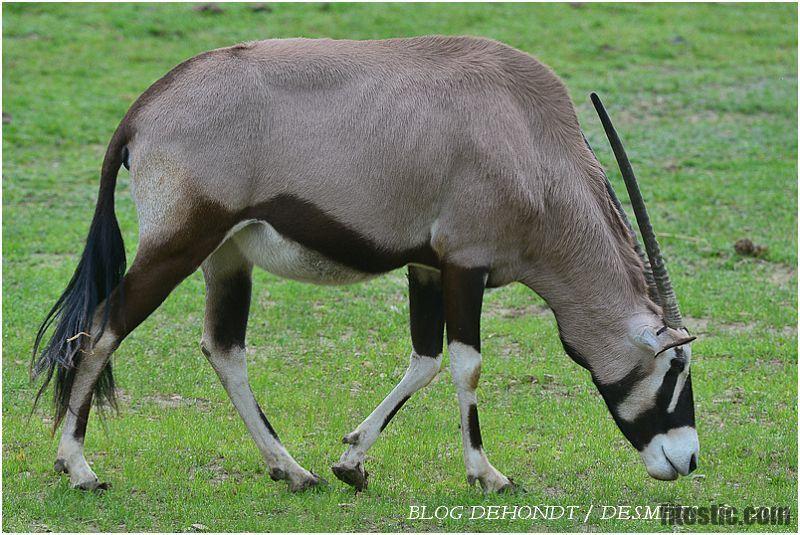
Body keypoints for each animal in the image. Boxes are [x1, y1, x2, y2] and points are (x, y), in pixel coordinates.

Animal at [31, 34, 696, 494]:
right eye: (676, 365)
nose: (686, 459)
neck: (527, 139)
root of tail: (142, 110)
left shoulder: (427, 267)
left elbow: (425, 359)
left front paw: (351, 461)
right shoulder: (465, 264)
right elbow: (467, 365)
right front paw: (487, 474)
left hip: (227, 257)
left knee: (223, 348)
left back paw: (293, 470)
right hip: (178, 245)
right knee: (101, 330)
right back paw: (79, 468)